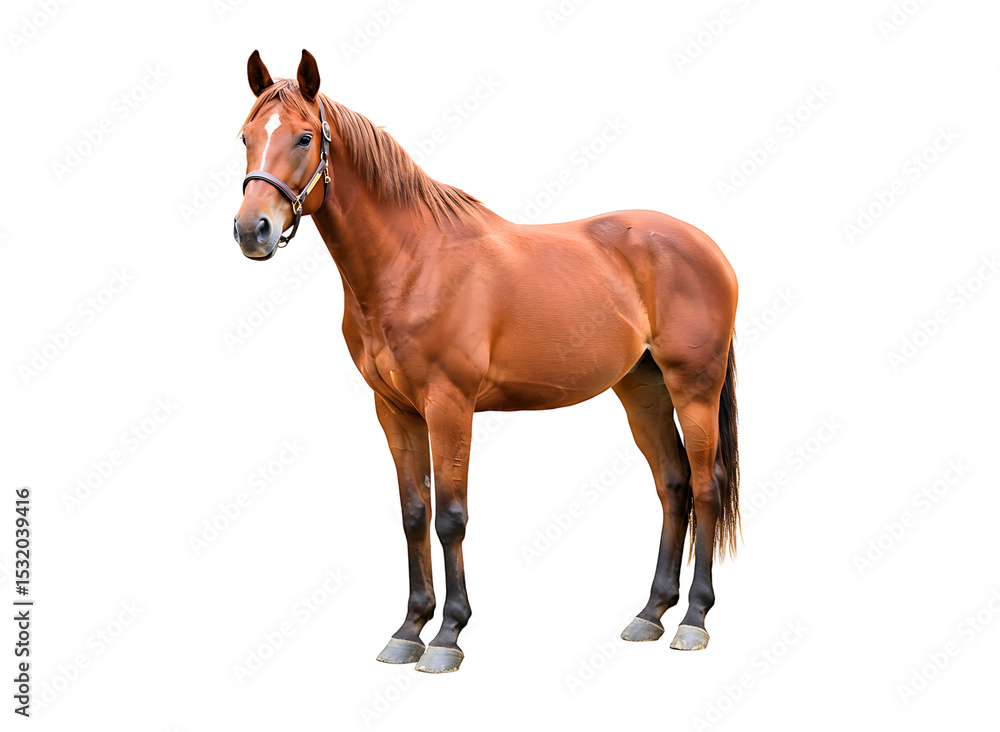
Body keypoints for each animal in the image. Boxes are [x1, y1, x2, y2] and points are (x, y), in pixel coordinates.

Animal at [233, 50, 740, 673]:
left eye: (304, 137)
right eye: (247, 136)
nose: (251, 230)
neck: (412, 261)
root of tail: (705, 246)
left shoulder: (449, 405)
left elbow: (451, 516)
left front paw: (448, 635)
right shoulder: (394, 410)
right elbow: (413, 513)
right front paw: (409, 628)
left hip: (694, 386)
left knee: (707, 485)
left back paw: (693, 619)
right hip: (641, 389)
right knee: (673, 484)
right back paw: (650, 613)